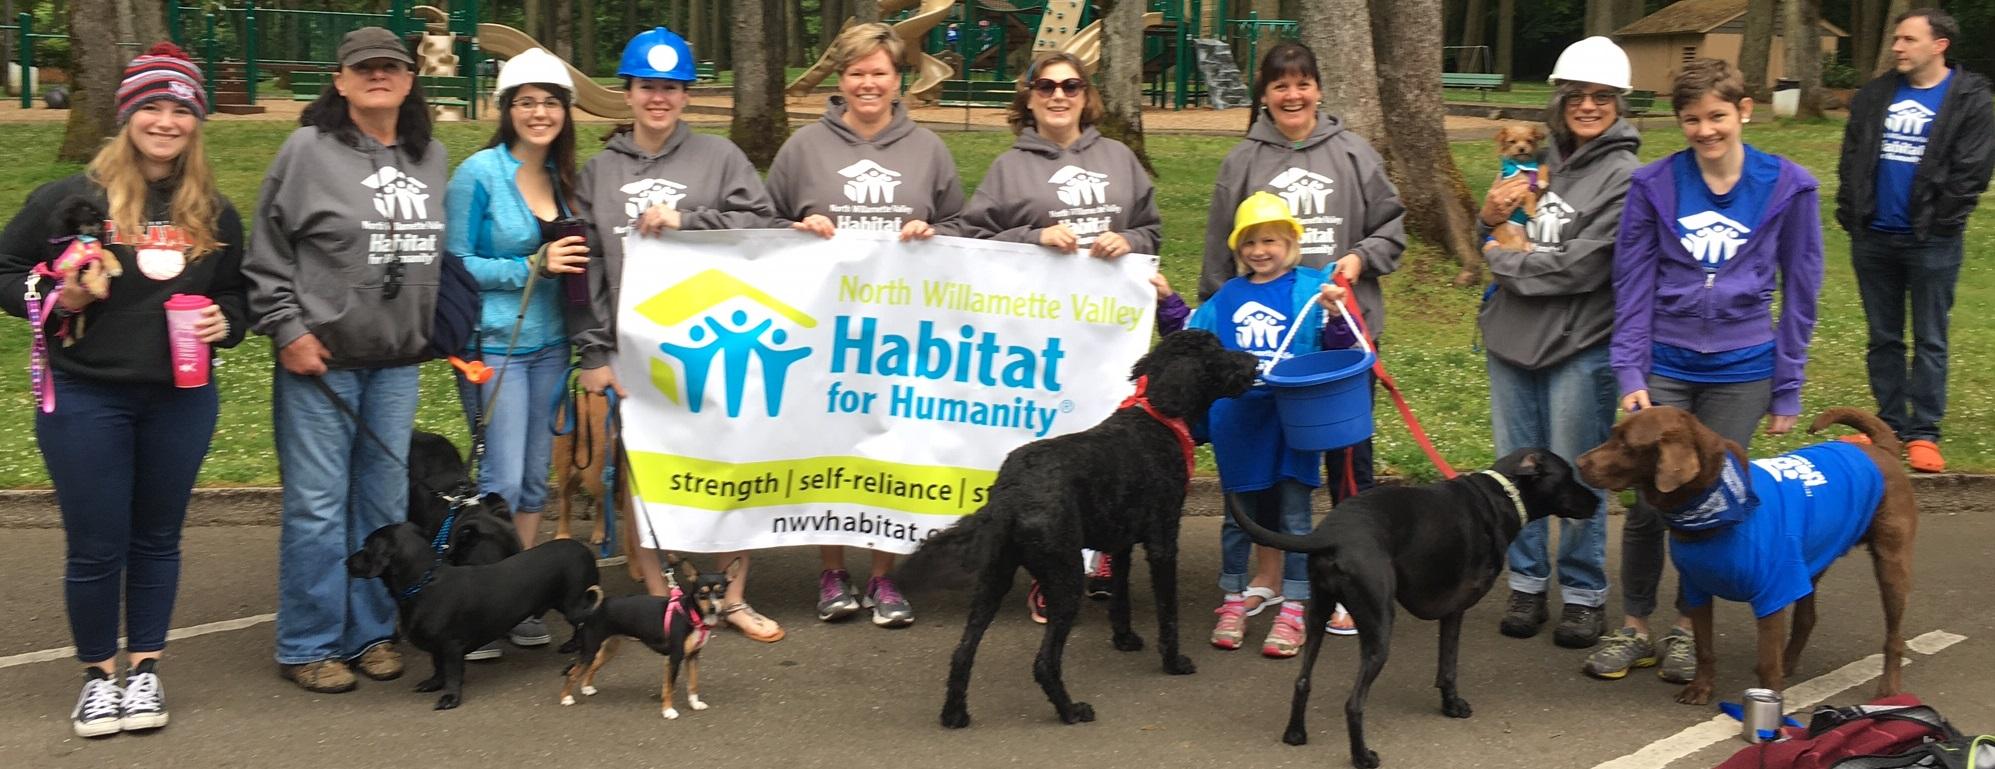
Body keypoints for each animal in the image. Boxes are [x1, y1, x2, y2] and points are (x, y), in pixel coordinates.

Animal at [347, 519, 594, 707]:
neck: (424, 584)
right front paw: (433, 683)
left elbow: (452, 673)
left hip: (574, 603)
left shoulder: (452, 645)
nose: (346, 561)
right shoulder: (438, 647)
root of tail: (583, 549)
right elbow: (438, 666)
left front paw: (450, 697)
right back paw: (572, 645)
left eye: (366, 546)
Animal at [901, 327, 1244, 727]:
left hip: (994, 579)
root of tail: (1010, 495)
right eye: (1218, 354)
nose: (1254, 362)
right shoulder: (1162, 542)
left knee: (962, 651)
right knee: (1044, 663)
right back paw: (1071, 711)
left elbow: (1120, 596)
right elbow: (1167, 611)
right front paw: (1173, 661)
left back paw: (955, 713)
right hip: (1065, 577)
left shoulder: (1121, 544)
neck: (1155, 419)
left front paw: (1124, 639)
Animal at [1228, 447, 1603, 763]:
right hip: (1379, 626)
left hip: (1318, 613)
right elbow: (1448, 666)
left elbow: (1443, 665)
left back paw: (1295, 733)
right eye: (1568, 475)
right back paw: (1363, 757)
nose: (1597, 502)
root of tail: (1329, 535)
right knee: (1353, 704)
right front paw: (1452, 705)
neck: (1502, 496)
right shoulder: (1456, 609)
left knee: (1302, 681)